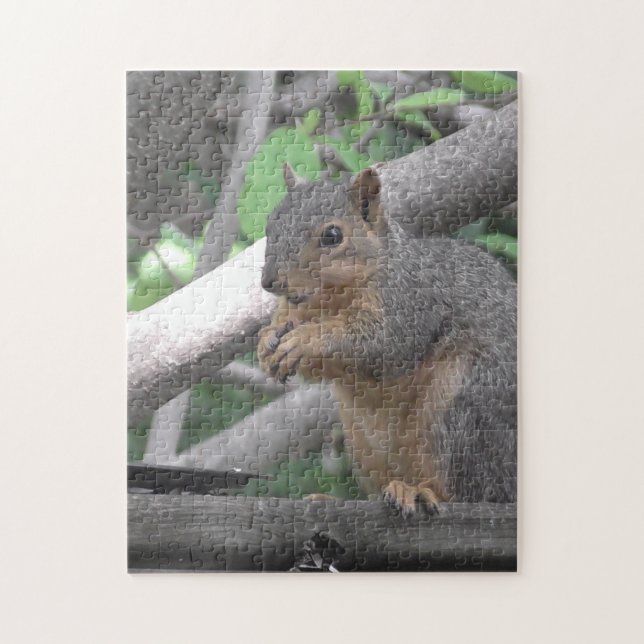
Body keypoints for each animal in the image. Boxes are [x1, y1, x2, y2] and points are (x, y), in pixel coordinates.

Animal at [258, 163, 517, 516]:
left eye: (332, 236)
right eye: (271, 223)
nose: (269, 282)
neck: (330, 298)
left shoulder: (410, 303)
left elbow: (383, 344)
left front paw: (307, 339)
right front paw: (266, 342)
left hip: (460, 405)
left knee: (471, 493)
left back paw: (420, 493)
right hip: (362, 439)